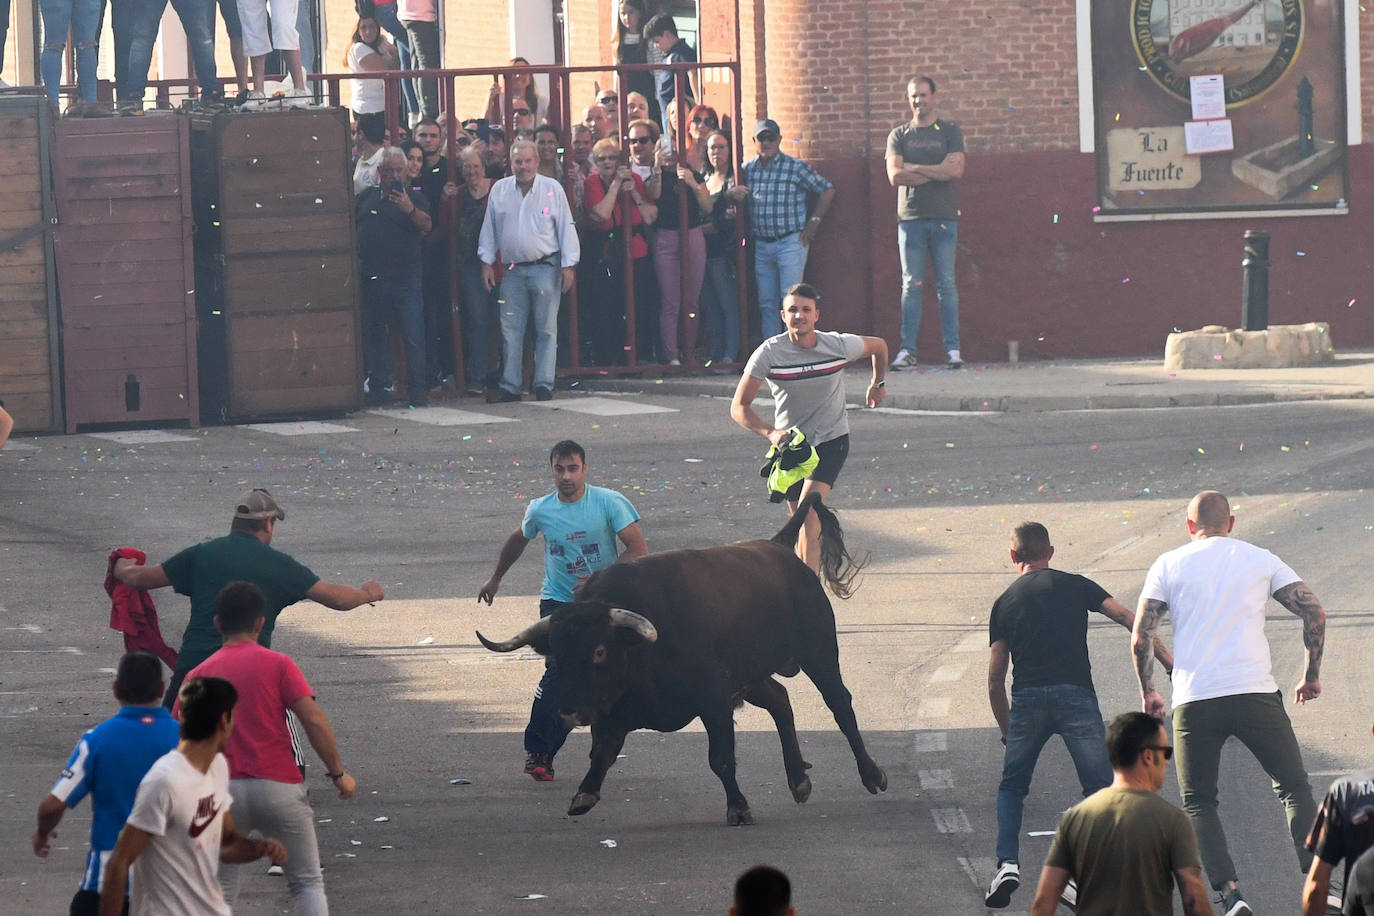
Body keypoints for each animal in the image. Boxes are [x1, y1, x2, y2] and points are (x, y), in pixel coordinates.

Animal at [478, 497, 884, 829]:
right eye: (557, 652)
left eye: (599, 651)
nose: (569, 710)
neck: (639, 654)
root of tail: (778, 547)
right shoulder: (613, 712)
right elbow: (602, 753)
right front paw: (584, 794)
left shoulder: (714, 699)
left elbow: (720, 758)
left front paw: (738, 808)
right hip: (751, 675)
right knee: (780, 701)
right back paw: (799, 780)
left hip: (819, 652)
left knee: (840, 705)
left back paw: (872, 775)